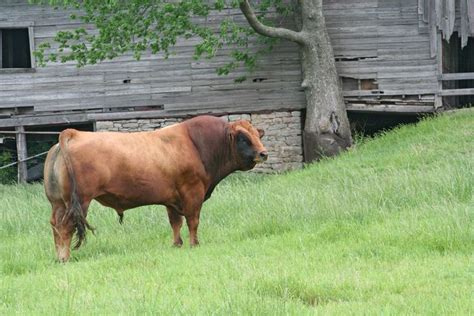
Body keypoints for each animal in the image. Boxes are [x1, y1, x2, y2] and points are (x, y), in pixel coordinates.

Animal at [44, 116, 266, 262]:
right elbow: (193, 221)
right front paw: (194, 244)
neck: (197, 144)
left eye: (257, 134)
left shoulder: (172, 199)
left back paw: (58, 256)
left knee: (55, 226)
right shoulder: (192, 192)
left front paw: (177, 244)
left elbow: (175, 223)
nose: (264, 153)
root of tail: (73, 133)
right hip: (79, 201)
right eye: (243, 138)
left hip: (58, 203)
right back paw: (64, 258)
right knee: (66, 226)